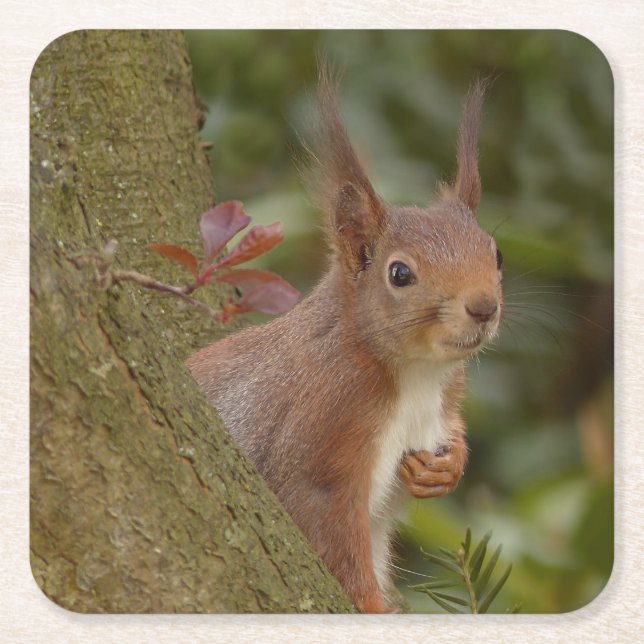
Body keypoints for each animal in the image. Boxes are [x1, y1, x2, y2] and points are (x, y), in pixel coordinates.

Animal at [187, 68, 503, 614]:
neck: (417, 373)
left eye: (497, 254)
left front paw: (446, 468)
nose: (484, 306)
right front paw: (372, 608)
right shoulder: (324, 425)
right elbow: (326, 529)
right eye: (399, 274)